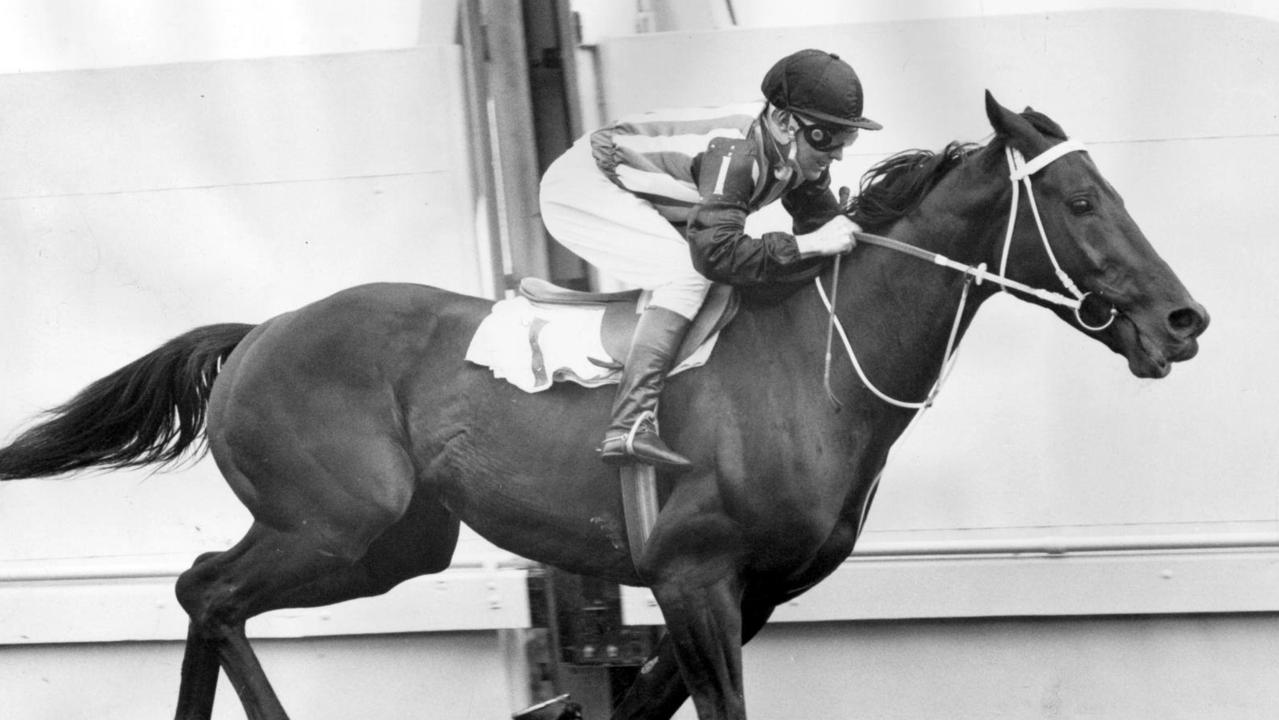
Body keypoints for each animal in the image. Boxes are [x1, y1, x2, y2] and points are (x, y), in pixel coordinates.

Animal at [0, 92, 1207, 716]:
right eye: (1080, 199)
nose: (1183, 320)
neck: (814, 365)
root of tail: (260, 332)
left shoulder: (748, 595)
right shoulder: (693, 578)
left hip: (391, 545)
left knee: (208, 591)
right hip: (331, 521)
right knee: (207, 591)